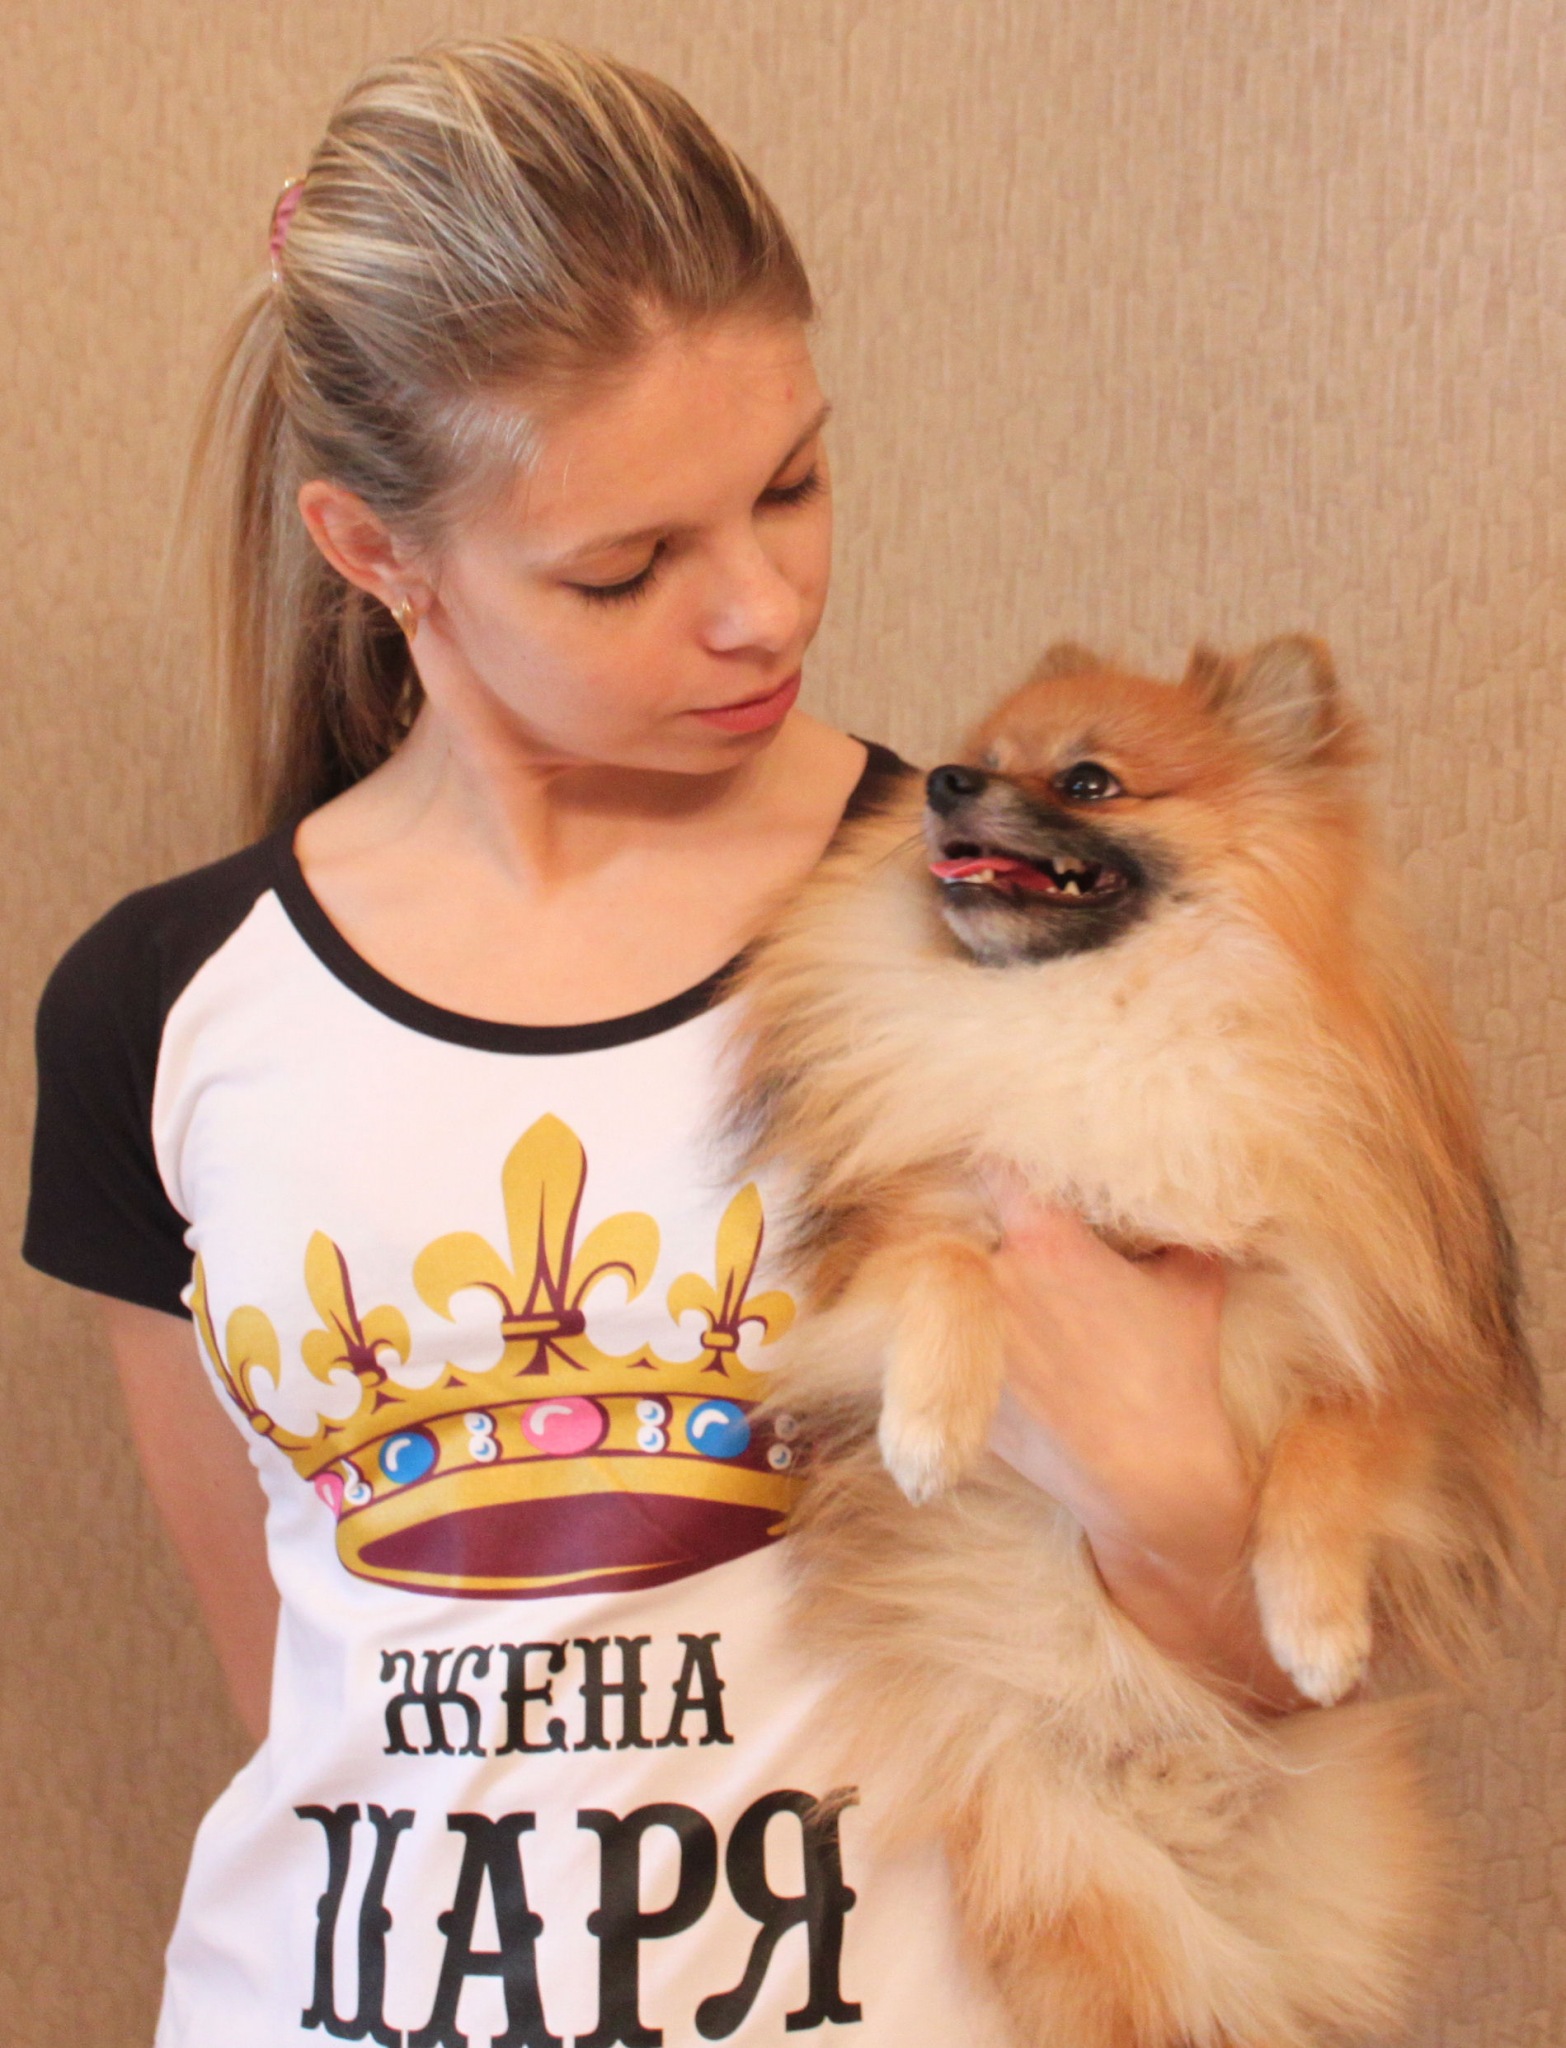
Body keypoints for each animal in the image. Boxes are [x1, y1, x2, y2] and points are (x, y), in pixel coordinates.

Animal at [725, 637, 1538, 2047]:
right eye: (977, 755)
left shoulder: (1366, 1342)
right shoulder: (898, 1233)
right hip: (1056, 1849)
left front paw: (1316, 1622)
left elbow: (1335, 1444)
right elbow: (945, 1261)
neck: (1097, 1015)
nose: (941, 783)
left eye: (1089, 780)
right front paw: (930, 1422)